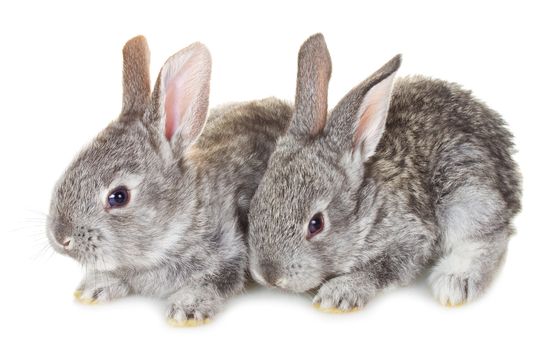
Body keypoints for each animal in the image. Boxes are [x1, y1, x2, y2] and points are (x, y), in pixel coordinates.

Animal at [45, 35, 292, 326]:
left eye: (118, 196)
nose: (61, 237)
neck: (182, 221)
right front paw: (94, 288)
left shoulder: (229, 252)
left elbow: (211, 282)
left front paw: (186, 310)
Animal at [248, 33, 520, 312]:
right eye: (256, 203)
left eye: (316, 224)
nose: (269, 275)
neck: (370, 211)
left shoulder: (412, 237)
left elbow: (383, 268)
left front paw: (338, 294)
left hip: (465, 193)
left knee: (491, 237)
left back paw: (455, 282)